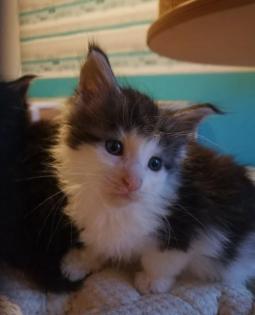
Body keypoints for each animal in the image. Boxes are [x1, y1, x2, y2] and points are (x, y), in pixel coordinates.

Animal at [56, 45, 255, 296]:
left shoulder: (191, 221)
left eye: (155, 164)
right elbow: (100, 239)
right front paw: (82, 260)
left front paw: (152, 281)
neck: (117, 210)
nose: (132, 182)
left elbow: (163, 257)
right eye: (114, 147)